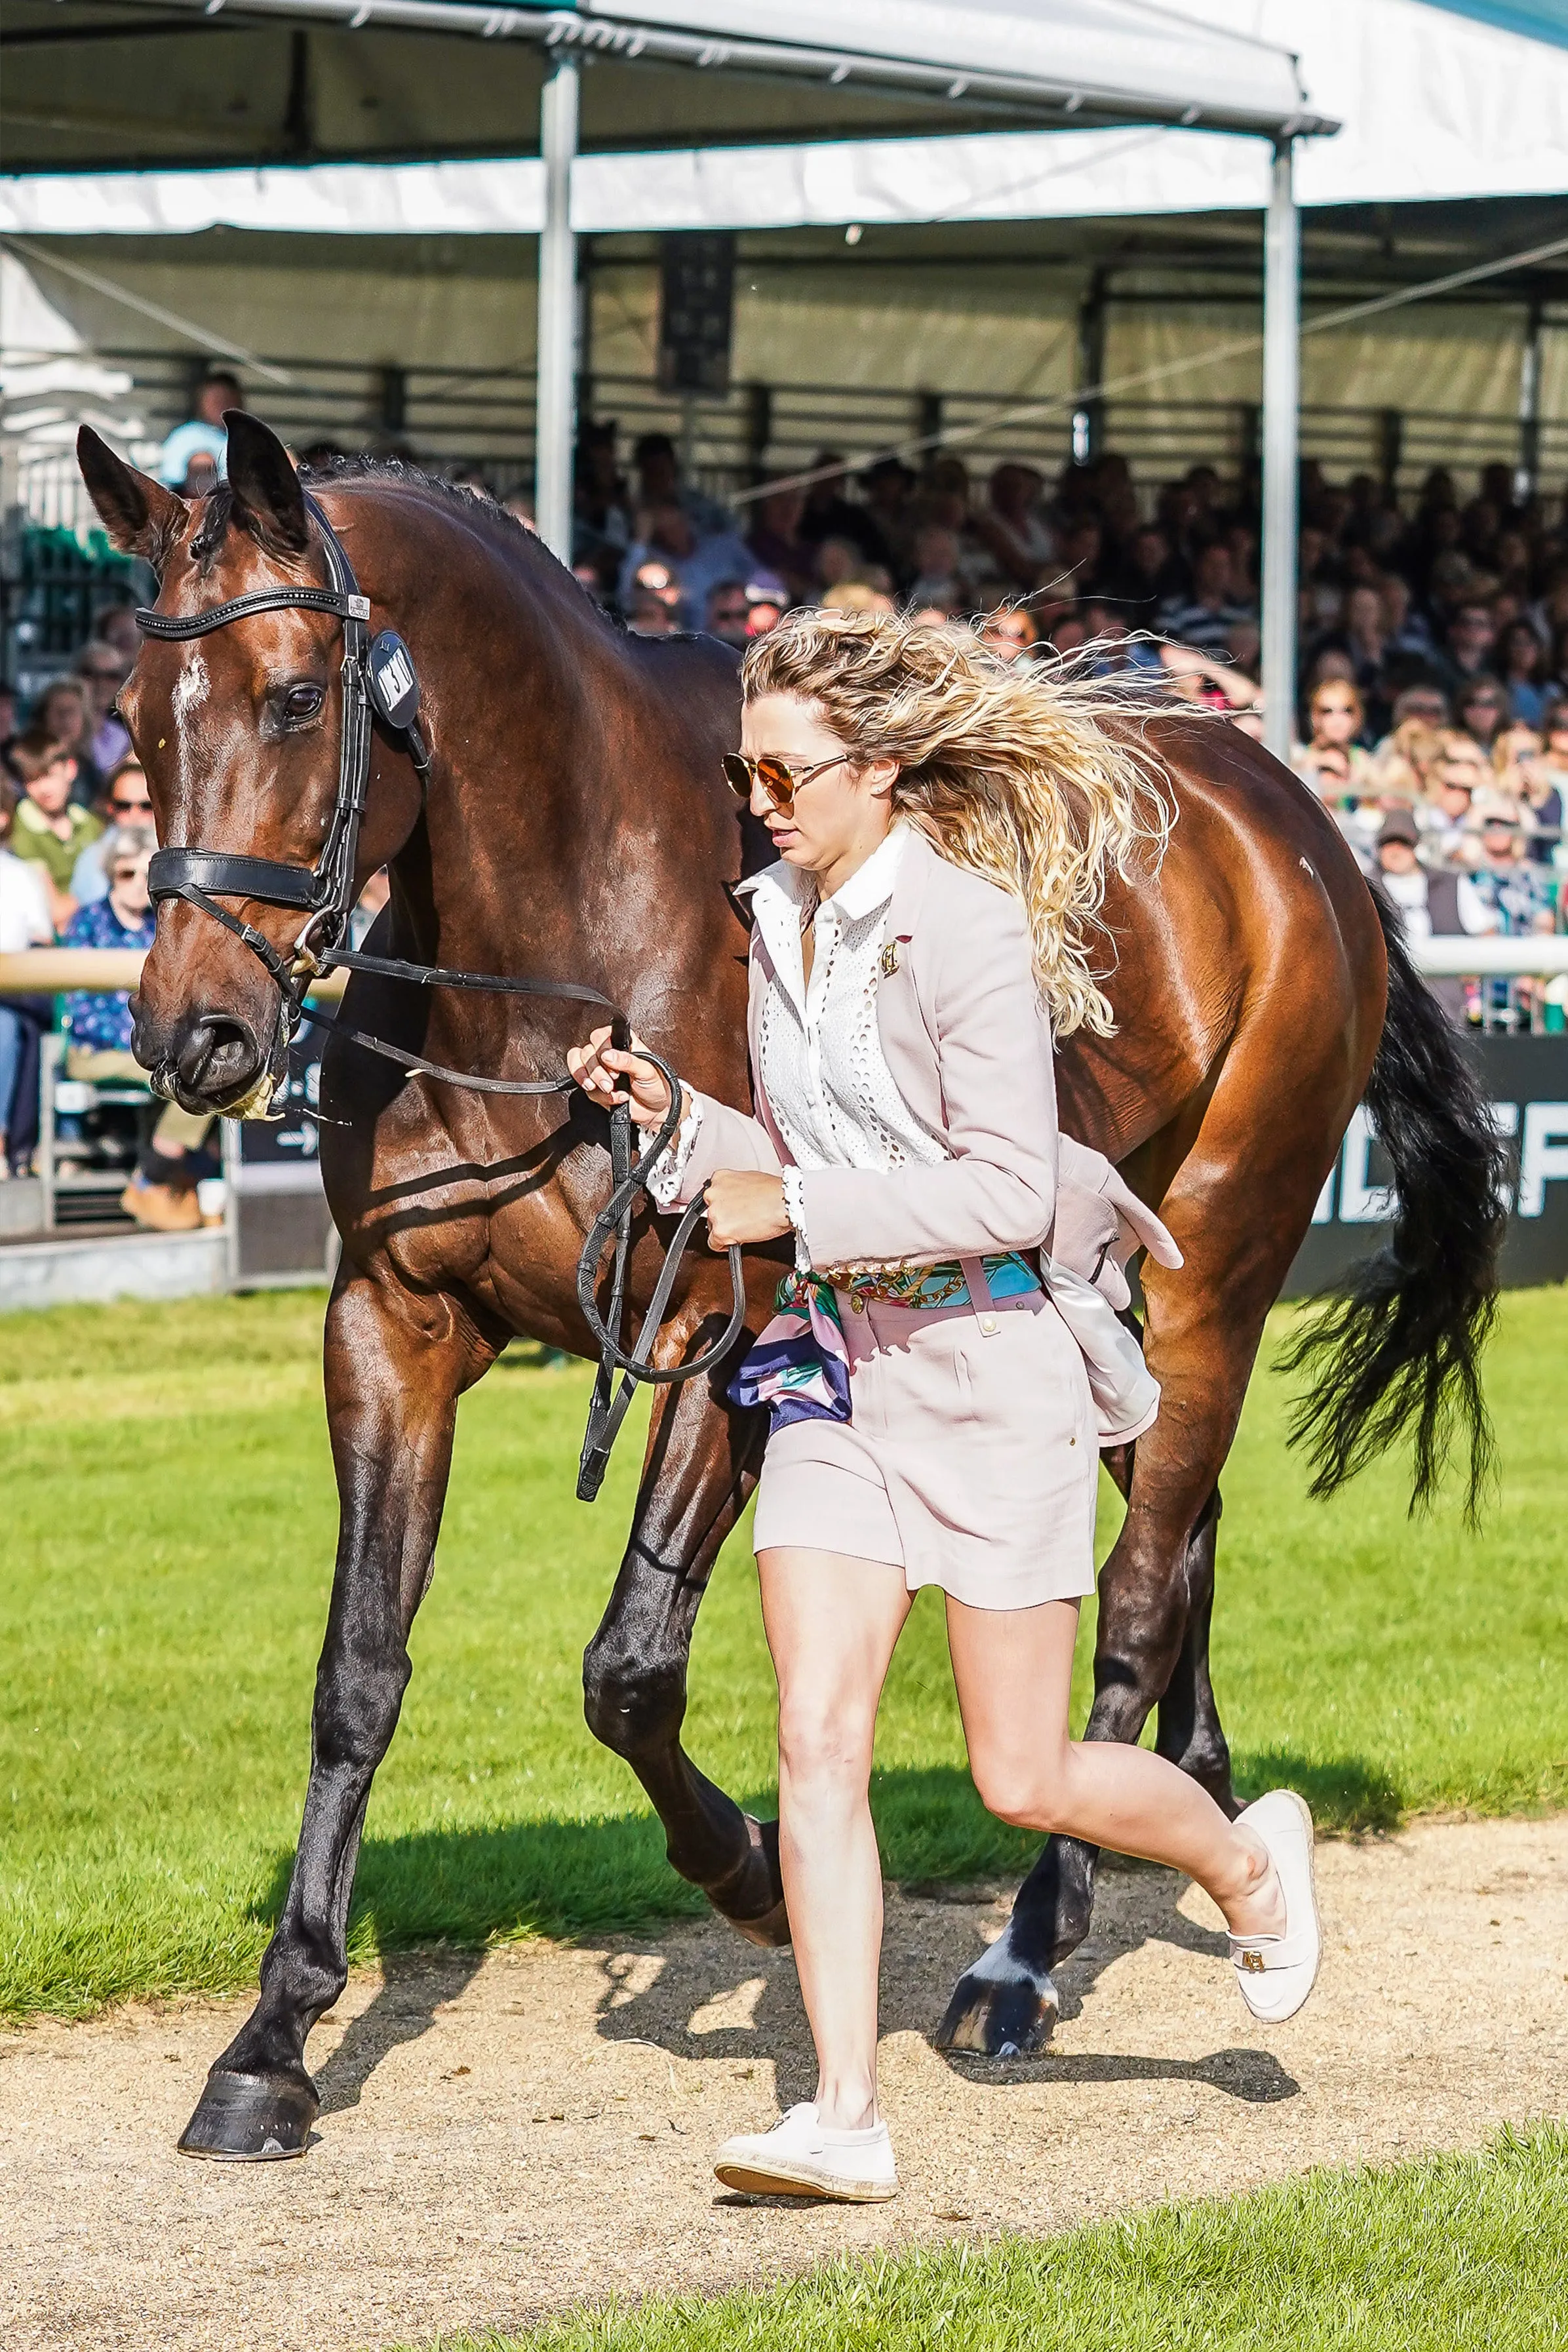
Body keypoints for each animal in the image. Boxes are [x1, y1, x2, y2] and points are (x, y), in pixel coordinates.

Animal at [79, 414, 1504, 2154]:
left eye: (294, 696)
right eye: (136, 715)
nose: (192, 1029)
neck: (563, 946)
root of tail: (1299, 827)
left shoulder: (716, 1331)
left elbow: (627, 1674)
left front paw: (754, 1871)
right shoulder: (391, 1327)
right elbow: (358, 1674)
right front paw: (274, 2034)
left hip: (1217, 1261)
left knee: (1136, 1595)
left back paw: (1030, 1947)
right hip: (1096, 1296)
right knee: (1183, 1538)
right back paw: (1192, 1804)